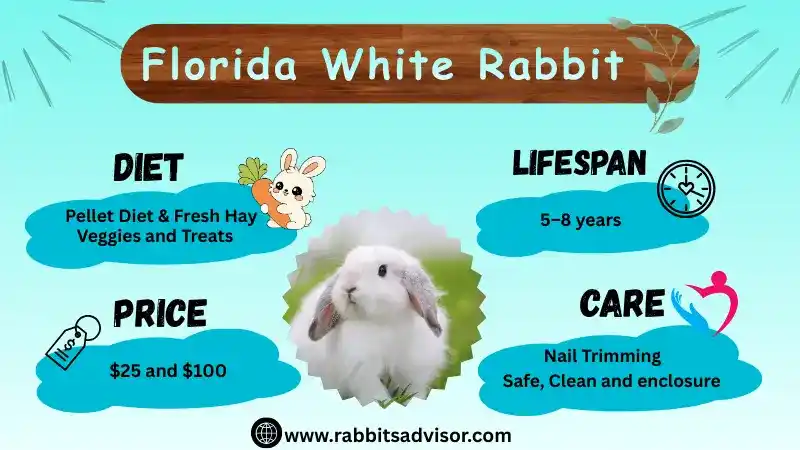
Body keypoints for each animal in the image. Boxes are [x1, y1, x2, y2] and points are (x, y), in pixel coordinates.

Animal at [289, 245, 450, 405]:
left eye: (382, 270)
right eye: (344, 268)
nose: (348, 288)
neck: (384, 322)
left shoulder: (413, 370)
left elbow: (412, 391)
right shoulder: (363, 371)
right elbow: (375, 394)